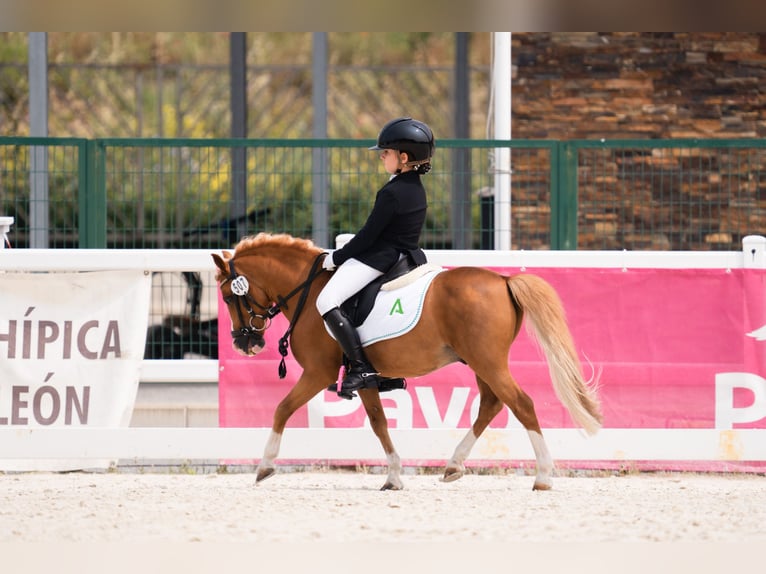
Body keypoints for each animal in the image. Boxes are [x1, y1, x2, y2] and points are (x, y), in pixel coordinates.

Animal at [213, 232, 604, 492]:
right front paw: (394, 476)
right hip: (480, 362)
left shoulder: (317, 372)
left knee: (521, 404)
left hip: (488, 361)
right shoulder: (363, 376)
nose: (243, 342)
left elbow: (281, 408)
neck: (307, 292)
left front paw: (265, 465)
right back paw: (453, 465)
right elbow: (378, 422)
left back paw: (543, 475)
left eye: (228, 296)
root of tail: (504, 279)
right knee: (491, 405)